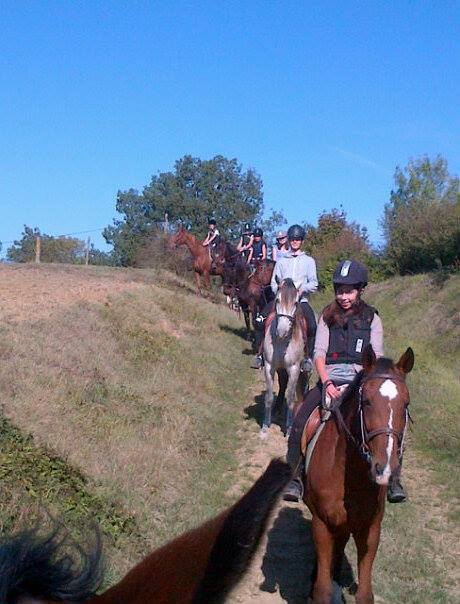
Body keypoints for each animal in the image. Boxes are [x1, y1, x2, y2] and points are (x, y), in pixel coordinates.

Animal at [260, 278, 308, 438]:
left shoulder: (294, 369)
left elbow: (291, 399)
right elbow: (269, 396)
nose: (281, 331)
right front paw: (265, 426)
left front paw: (288, 429)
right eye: (277, 300)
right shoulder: (270, 366)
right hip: (280, 369)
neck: (282, 341)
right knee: (282, 384)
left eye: (296, 303)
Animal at [306, 344, 414, 604]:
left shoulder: (370, 529)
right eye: (366, 401)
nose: (385, 469)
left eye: (405, 405)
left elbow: (365, 594)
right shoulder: (321, 523)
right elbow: (322, 591)